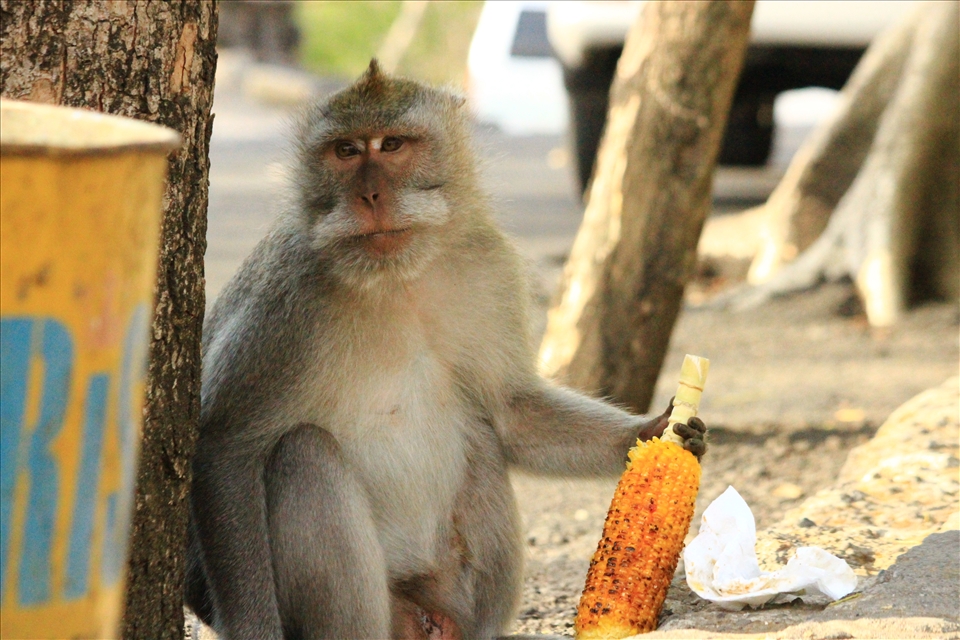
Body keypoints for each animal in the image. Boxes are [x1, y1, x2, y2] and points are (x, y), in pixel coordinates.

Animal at [185, 60, 706, 640]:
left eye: (391, 144)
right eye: (345, 151)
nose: (370, 197)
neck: (396, 276)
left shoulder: (487, 265)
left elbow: (511, 412)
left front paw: (656, 430)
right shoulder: (285, 299)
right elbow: (225, 443)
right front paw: (253, 629)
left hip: (450, 589)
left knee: (478, 433)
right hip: (384, 609)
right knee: (304, 453)